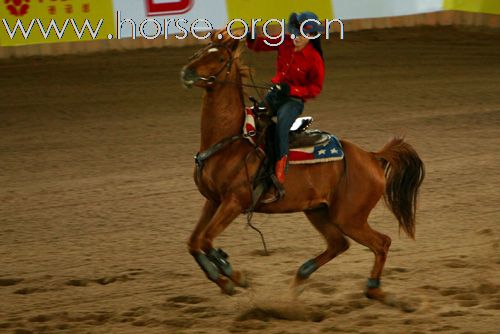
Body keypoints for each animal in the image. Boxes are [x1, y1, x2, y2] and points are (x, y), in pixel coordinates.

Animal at [182, 31, 424, 302]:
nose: (187, 72)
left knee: (381, 242)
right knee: (339, 244)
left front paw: (234, 275)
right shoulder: (213, 200)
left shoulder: (234, 201)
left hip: (350, 218)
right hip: (318, 211)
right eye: (201, 51)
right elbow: (194, 242)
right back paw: (300, 279)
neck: (230, 142)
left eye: (220, 58)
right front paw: (222, 280)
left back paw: (373, 288)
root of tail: (371, 157)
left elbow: (206, 240)